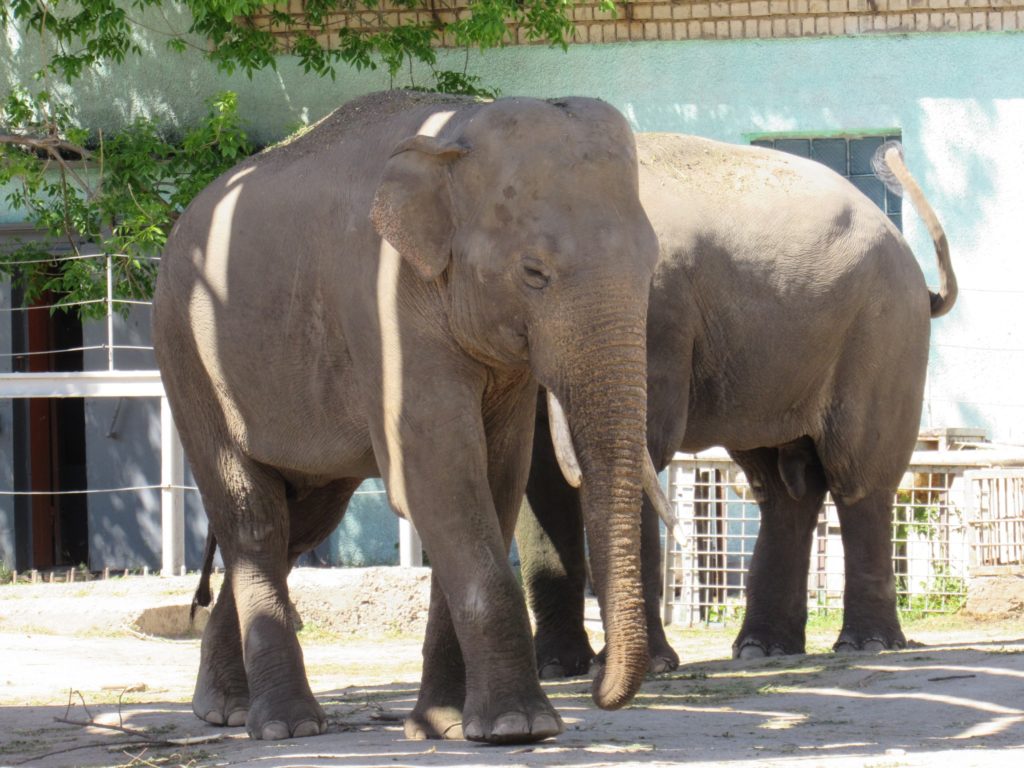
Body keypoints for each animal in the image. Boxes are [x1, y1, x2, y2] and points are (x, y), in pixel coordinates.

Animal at [154, 90, 659, 745]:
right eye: (534, 273)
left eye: (653, 266)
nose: (598, 686)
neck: (456, 130)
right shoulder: (382, 304)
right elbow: (439, 476)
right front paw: (519, 727)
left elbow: (493, 482)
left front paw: (444, 726)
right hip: (186, 355)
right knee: (254, 520)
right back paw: (287, 726)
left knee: (301, 523)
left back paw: (224, 710)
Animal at [516, 134, 954, 679]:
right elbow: (537, 474)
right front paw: (557, 670)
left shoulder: (657, 316)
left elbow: (639, 449)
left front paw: (647, 669)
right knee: (783, 487)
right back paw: (763, 650)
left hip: (885, 333)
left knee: (858, 476)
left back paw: (866, 644)